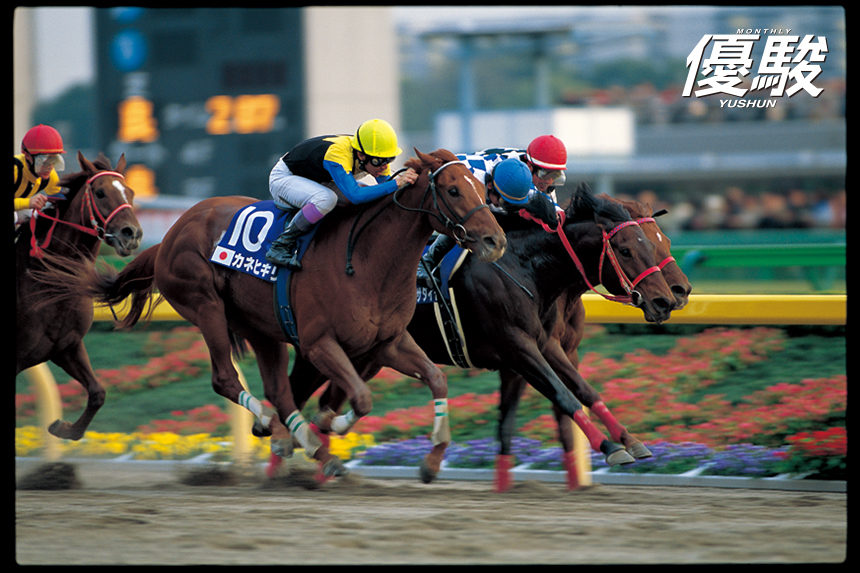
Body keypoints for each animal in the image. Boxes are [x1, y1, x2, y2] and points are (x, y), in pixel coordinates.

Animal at [16, 151, 143, 440]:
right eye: (100, 192)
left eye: (130, 192)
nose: (132, 234)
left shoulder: (67, 346)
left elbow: (98, 393)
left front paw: (63, 427)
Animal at [73, 148, 506, 480]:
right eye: (453, 189)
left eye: (481, 187)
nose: (495, 240)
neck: (369, 260)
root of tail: (170, 235)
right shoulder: (319, 344)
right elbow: (362, 397)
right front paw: (331, 424)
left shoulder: (386, 342)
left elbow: (436, 379)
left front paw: (432, 460)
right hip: (204, 304)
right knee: (227, 378)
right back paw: (294, 437)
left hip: (261, 327)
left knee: (279, 390)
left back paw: (295, 440)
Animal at [296, 182, 677, 480]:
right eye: (626, 250)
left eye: (655, 245)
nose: (666, 300)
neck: (524, 267)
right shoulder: (517, 346)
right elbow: (563, 395)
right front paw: (611, 446)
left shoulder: (545, 345)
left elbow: (582, 391)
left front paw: (631, 441)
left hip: (369, 357)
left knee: (325, 402)